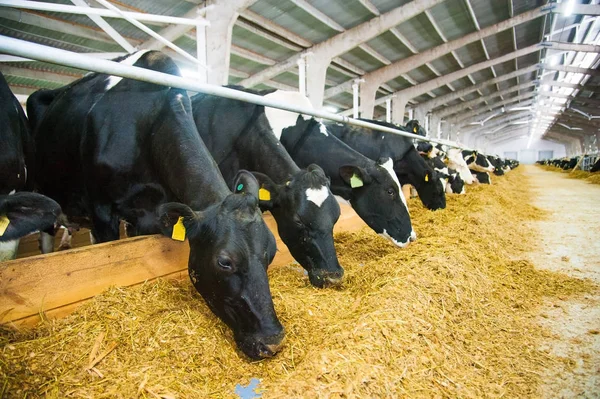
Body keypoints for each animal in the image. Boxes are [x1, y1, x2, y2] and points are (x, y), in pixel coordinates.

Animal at [29, 51, 288, 360]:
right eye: (224, 262)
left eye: (271, 252)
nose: (272, 341)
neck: (147, 124)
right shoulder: (102, 211)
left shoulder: (152, 216)